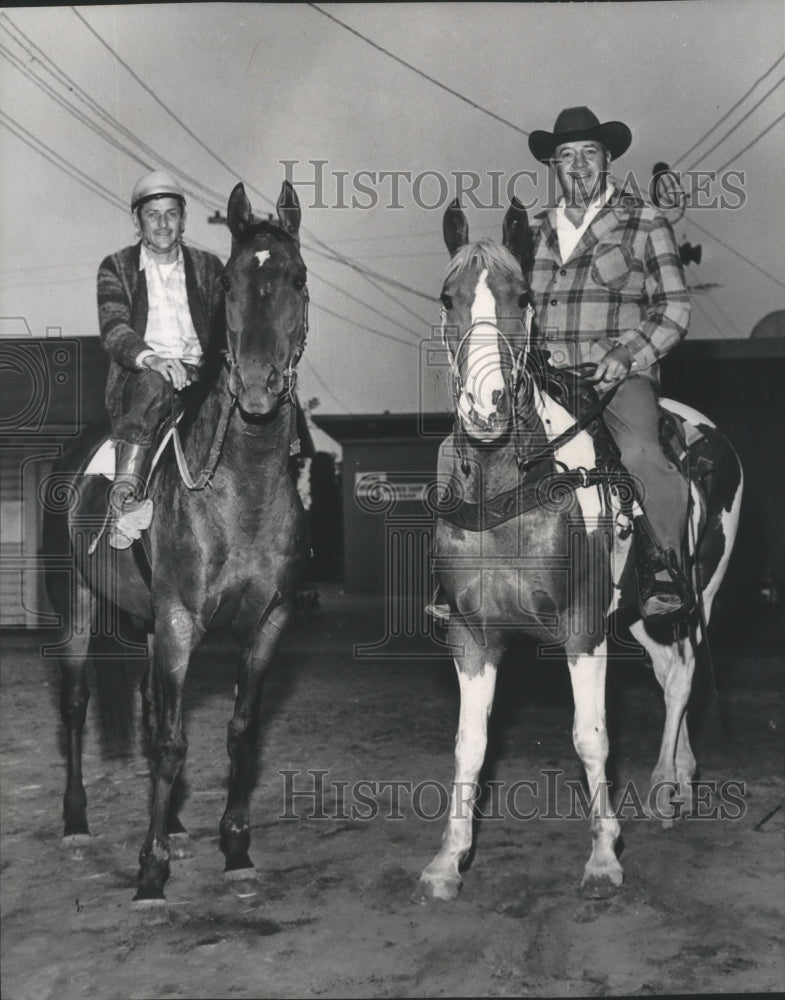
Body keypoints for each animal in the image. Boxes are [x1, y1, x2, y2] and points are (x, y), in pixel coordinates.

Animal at [45, 180, 310, 908]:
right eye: (231, 288)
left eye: (297, 278)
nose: (257, 387)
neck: (240, 488)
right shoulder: (178, 622)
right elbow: (169, 744)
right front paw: (150, 871)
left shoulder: (269, 623)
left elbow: (239, 734)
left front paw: (235, 849)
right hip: (78, 610)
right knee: (76, 706)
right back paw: (76, 825)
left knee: (147, 704)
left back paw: (180, 825)